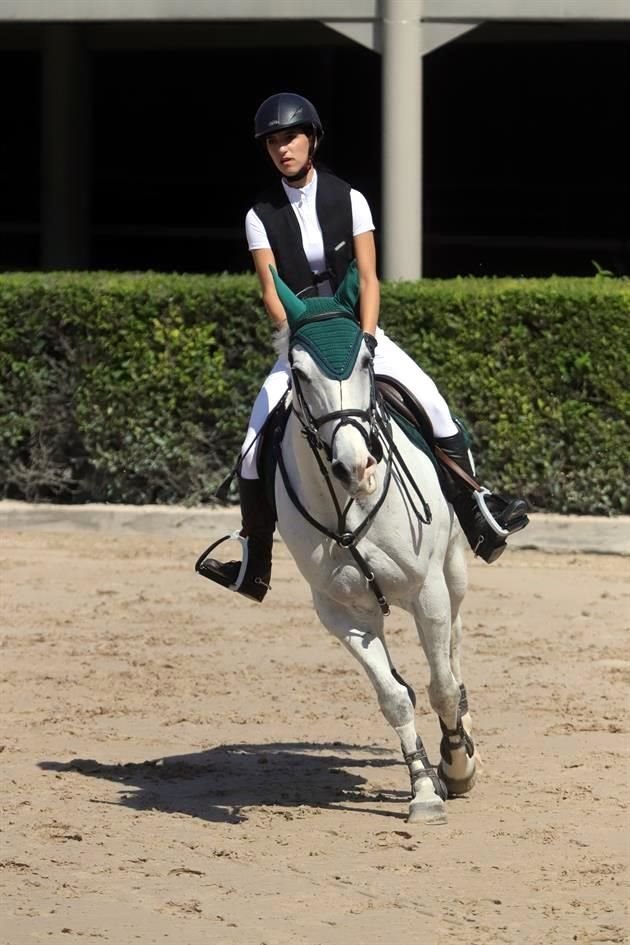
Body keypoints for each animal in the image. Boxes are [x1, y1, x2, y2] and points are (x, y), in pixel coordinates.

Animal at [272, 262, 478, 824]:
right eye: (299, 372)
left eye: (365, 358)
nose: (356, 467)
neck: (350, 506)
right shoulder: (344, 613)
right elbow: (395, 697)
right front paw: (424, 789)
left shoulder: (428, 592)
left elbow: (442, 687)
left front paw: (456, 767)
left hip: (453, 572)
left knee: (454, 649)